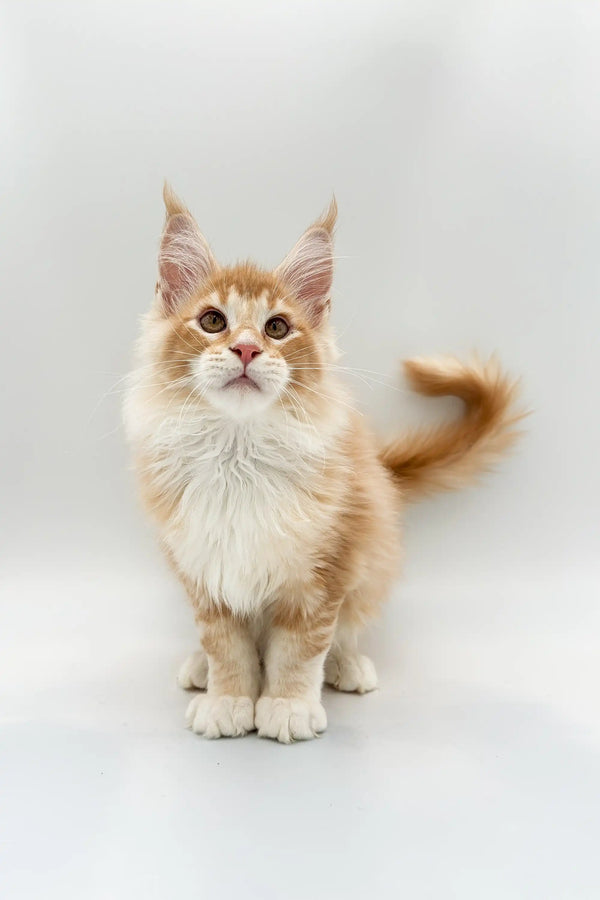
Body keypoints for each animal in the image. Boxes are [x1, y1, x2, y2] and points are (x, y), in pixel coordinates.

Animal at [124, 185, 524, 744]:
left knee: (348, 629)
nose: (245, 349)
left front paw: (288, 705)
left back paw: (348, 665)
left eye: (277, 328)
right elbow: (225, 645)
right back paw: (199, 668)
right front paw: (228, 698)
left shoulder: (325, 570)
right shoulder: (205, 570)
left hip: (372, 554)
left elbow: (300, 648)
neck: (238, 453)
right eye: (212, 321)